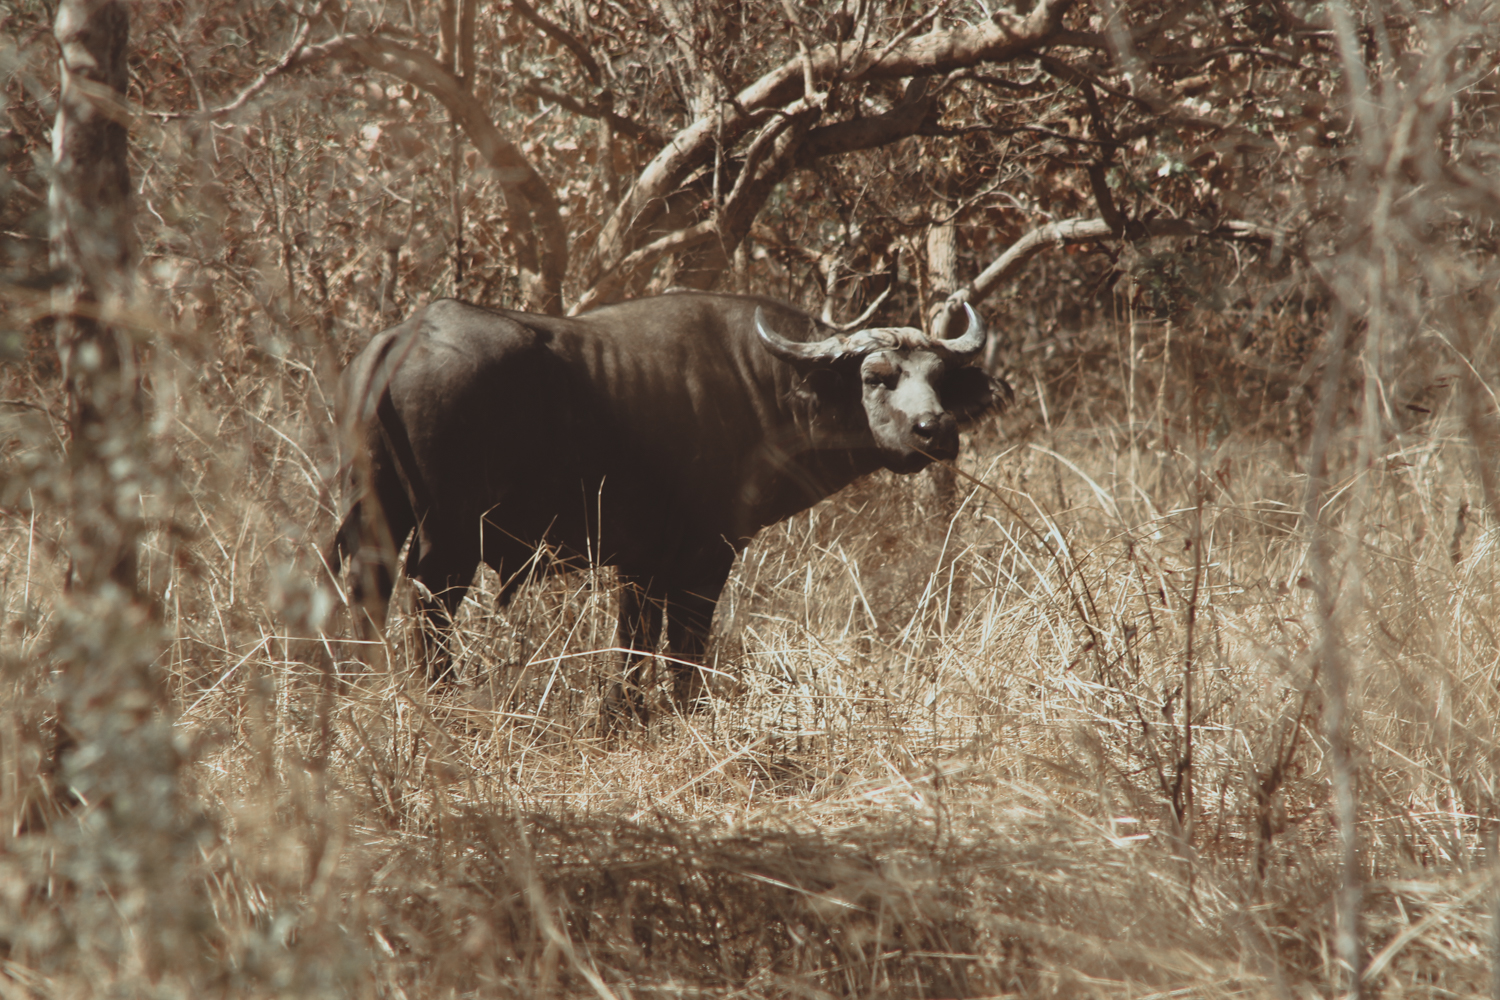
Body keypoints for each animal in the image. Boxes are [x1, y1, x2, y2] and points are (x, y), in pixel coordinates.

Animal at [327, 289, 1008, 719]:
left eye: (939, 380)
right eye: (876, 377)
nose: (936, 431)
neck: (763, 387)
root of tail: (398, 340)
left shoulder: (641, 563)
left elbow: (634, 643)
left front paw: (627, 713)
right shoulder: (704, 556)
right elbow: (685, 643)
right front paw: (683, 709)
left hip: (377, 514)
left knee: (370, 589)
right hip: (449, 536)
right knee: (429, 604)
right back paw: (439, 697)